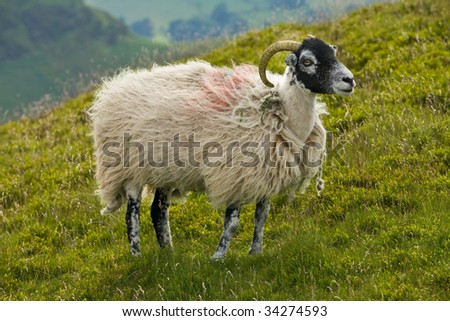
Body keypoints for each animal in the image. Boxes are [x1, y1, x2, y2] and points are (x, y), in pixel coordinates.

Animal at [88, 35, 356, 258]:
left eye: (333, 55)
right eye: (307, 61)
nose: (349, 80)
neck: (281, 112)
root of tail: (115, 87)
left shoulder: (264, 175)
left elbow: (262, 216)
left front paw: (255, 252)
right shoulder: (235, 174)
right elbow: (233, 222)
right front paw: (218, 257)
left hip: (165, 171)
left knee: (158, 211)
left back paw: (169, 255)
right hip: (128, 168)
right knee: (131, 214)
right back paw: (137, 255)